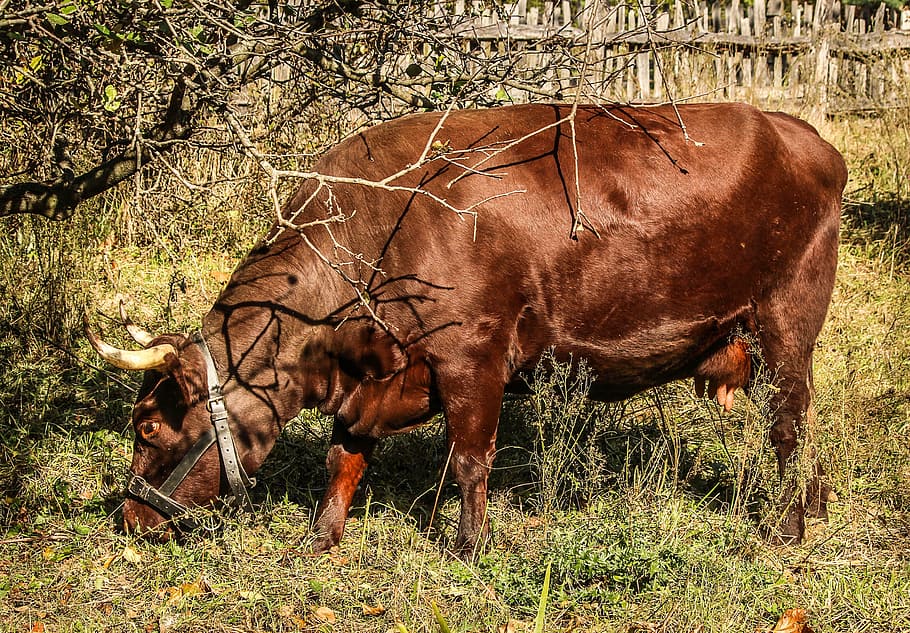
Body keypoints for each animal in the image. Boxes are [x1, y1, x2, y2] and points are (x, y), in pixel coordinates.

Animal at [86, 102, 847, 555]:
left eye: (147, 426)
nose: (128, 518)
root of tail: (801, 133)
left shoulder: (473, 356)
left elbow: (470, 457)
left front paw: (467, 544)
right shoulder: (368, 379)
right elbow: (343, 457)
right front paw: (321, 536)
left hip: (785, 321)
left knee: (788, 426)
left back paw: (787, 526)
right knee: (804, 424)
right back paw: (812, 505)